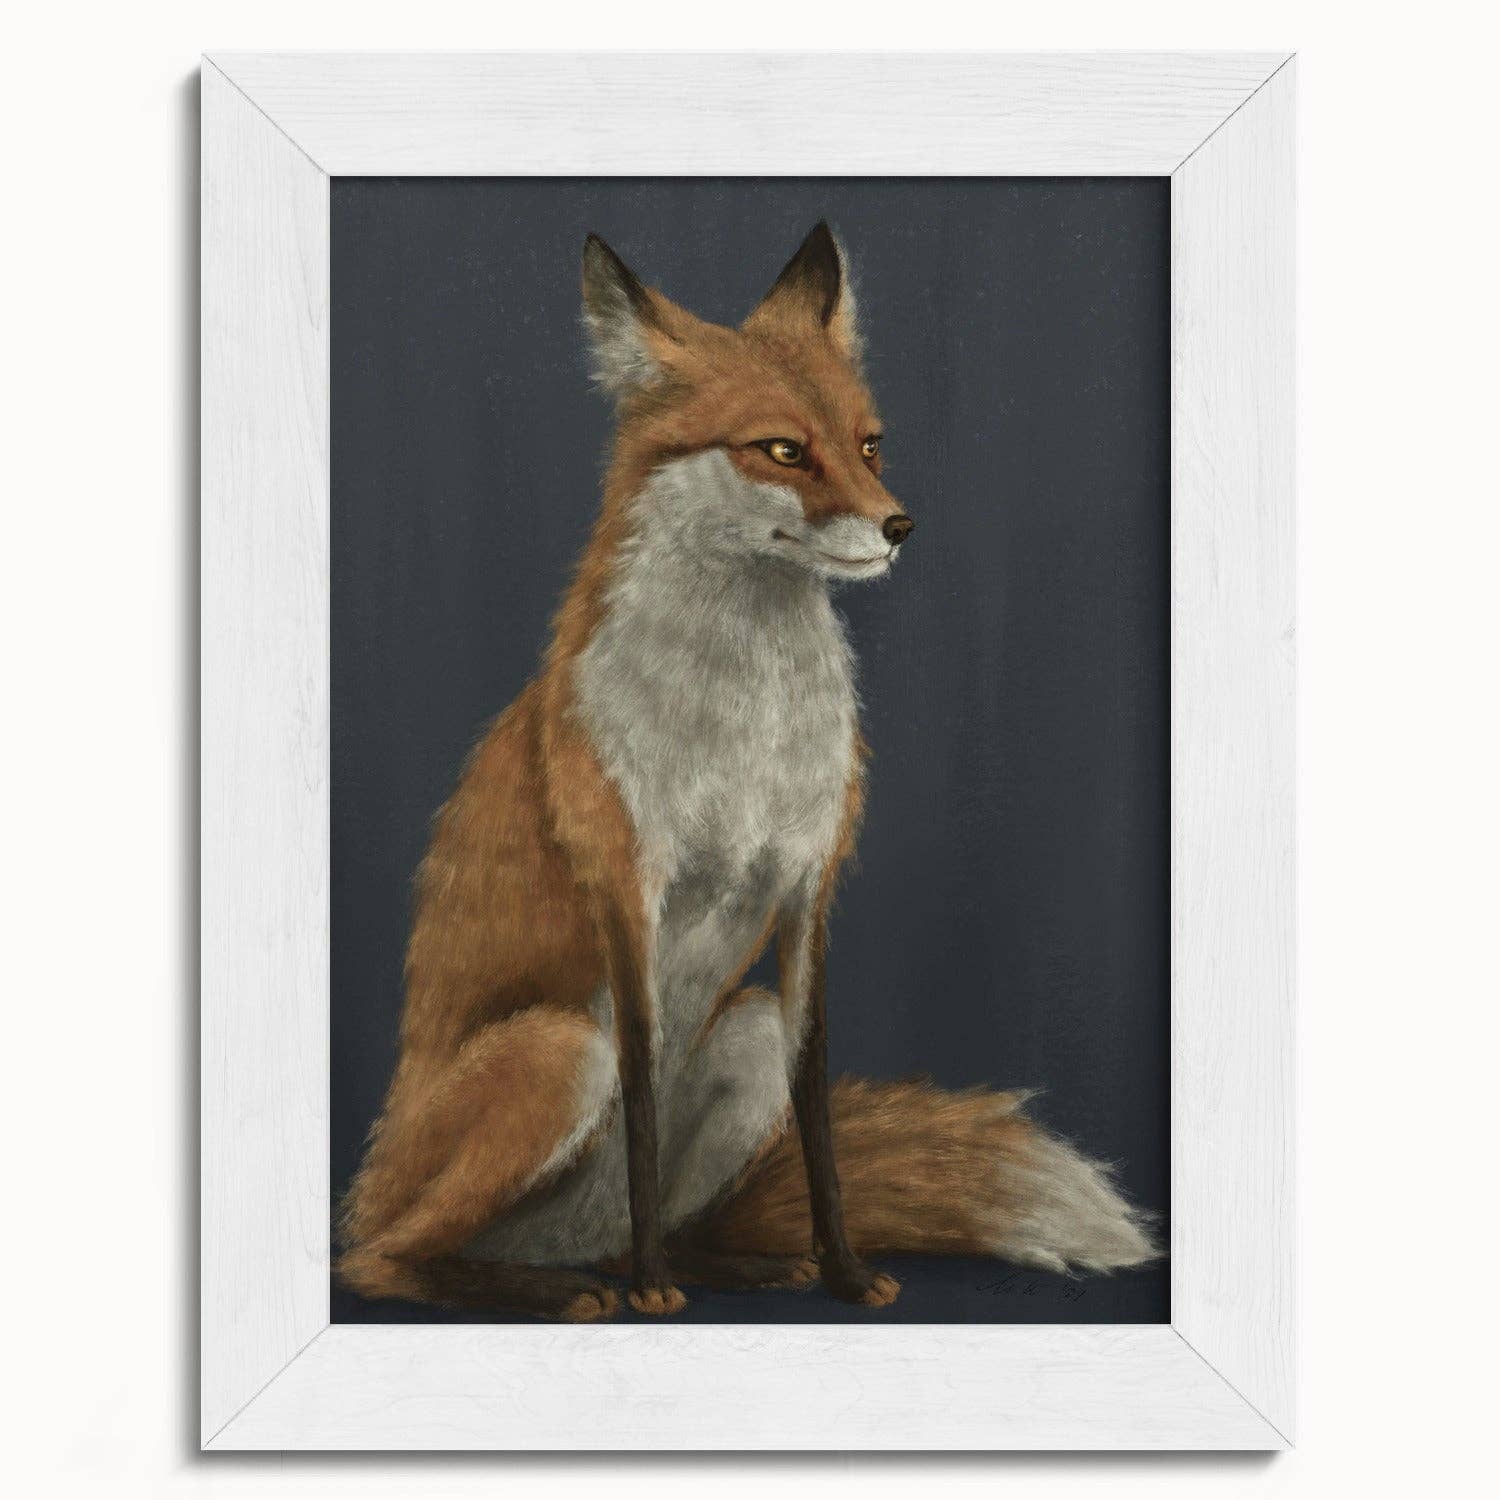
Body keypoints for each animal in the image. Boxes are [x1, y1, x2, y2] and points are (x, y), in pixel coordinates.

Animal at [337, 223, 1157, 1321]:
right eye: (781, 450)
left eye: (869, 444)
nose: (900, 526)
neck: (747, 731)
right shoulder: (628, 890)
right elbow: (642, 1101)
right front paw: (652, 1292)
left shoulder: (809, 889)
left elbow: (817, 1115)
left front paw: (843, 1271)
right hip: (558, 1051)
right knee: (380, 1260)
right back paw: (565, 1286)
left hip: (745, 1031)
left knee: (664, 1216)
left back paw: (724, 1263)